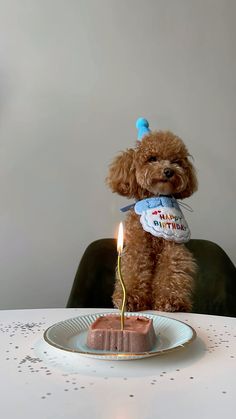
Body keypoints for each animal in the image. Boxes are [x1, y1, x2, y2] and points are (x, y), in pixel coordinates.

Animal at [106, 126, 197, 314]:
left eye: (176, 161)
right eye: (152, 158)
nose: (169, 171)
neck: (158, 199)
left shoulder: (172, 247)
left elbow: (172, 269)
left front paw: (171, 300)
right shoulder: (138, 246)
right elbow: (134, 268)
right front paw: (130, 298)